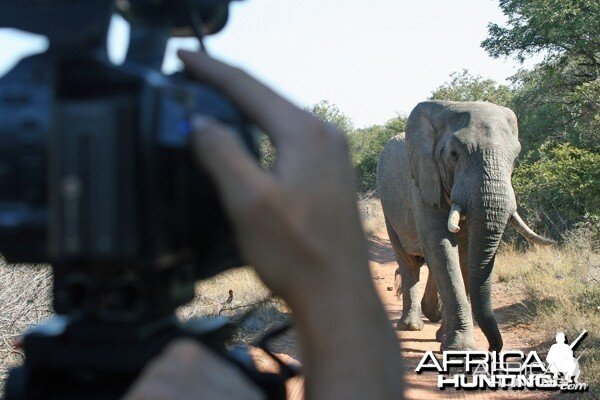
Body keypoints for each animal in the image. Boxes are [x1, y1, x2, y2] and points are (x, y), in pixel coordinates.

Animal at [376, 101, 552, 352]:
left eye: (515, 157)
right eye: (454, 154)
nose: (492, 349)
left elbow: (464, 252)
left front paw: (445, 339)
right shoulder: (424, 182)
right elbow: (441, 246)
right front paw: (460, 348)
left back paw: (434, 318)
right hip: (388, 207)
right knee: (408, 260)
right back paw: (411, 326)